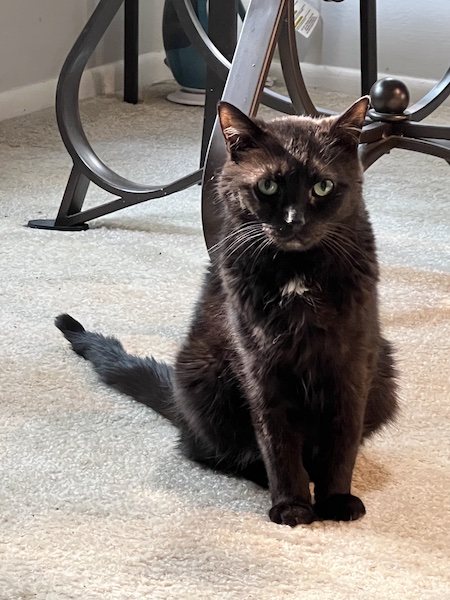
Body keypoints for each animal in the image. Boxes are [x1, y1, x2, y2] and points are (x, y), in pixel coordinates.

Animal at [56, 97, 398, 524]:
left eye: (323, 186)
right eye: (268, 186)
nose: (295, 221)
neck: (297, 273)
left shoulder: (352, 359)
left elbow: (343, 437)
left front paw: (336, 499)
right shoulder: (260, 364)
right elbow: (277, 441)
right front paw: (293, 505)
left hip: (385, 371)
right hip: (205, 374)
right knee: (208, 450)